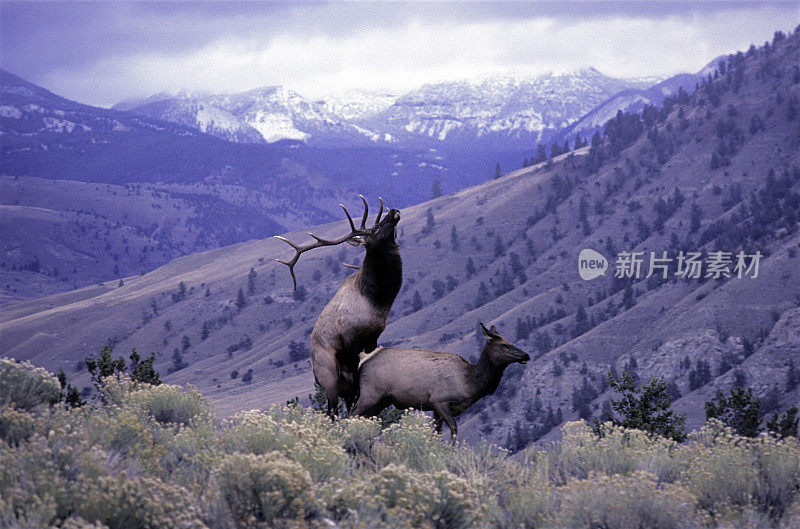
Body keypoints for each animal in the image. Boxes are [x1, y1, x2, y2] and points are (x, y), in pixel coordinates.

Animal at [276, 196, 404, 418]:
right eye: (375, 228)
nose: (393, 210)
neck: (377, 300)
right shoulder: (349, 336)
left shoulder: (373, 337)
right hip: (328, 375)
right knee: (332, 410)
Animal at [352, 322, 532, 442]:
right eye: (504, 345)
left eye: (509, 341)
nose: (526, 355)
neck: (469, 382)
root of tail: (362, 362)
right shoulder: (439, 400)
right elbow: (453, 427)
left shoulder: (435, 408)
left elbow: (435, 432)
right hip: (370, 394)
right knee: (351, 415)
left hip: (382, 400)